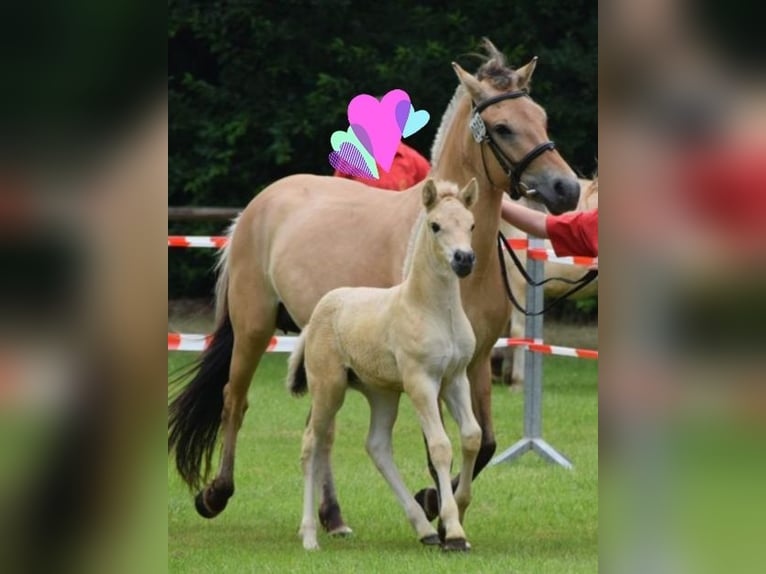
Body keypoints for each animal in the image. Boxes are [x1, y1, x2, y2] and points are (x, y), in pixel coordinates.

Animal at [168, 39, 580, 536]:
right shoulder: (425, 370)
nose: (567, 189)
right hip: (253, 327)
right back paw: (217, 494)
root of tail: (256, 207)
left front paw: (438, 506)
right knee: (235, 401)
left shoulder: (475, 361)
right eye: (503, 127)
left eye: (541, 117)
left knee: (319, 426)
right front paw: (438, 512)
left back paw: (333, 517)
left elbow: (483, 442)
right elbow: (436, 449)